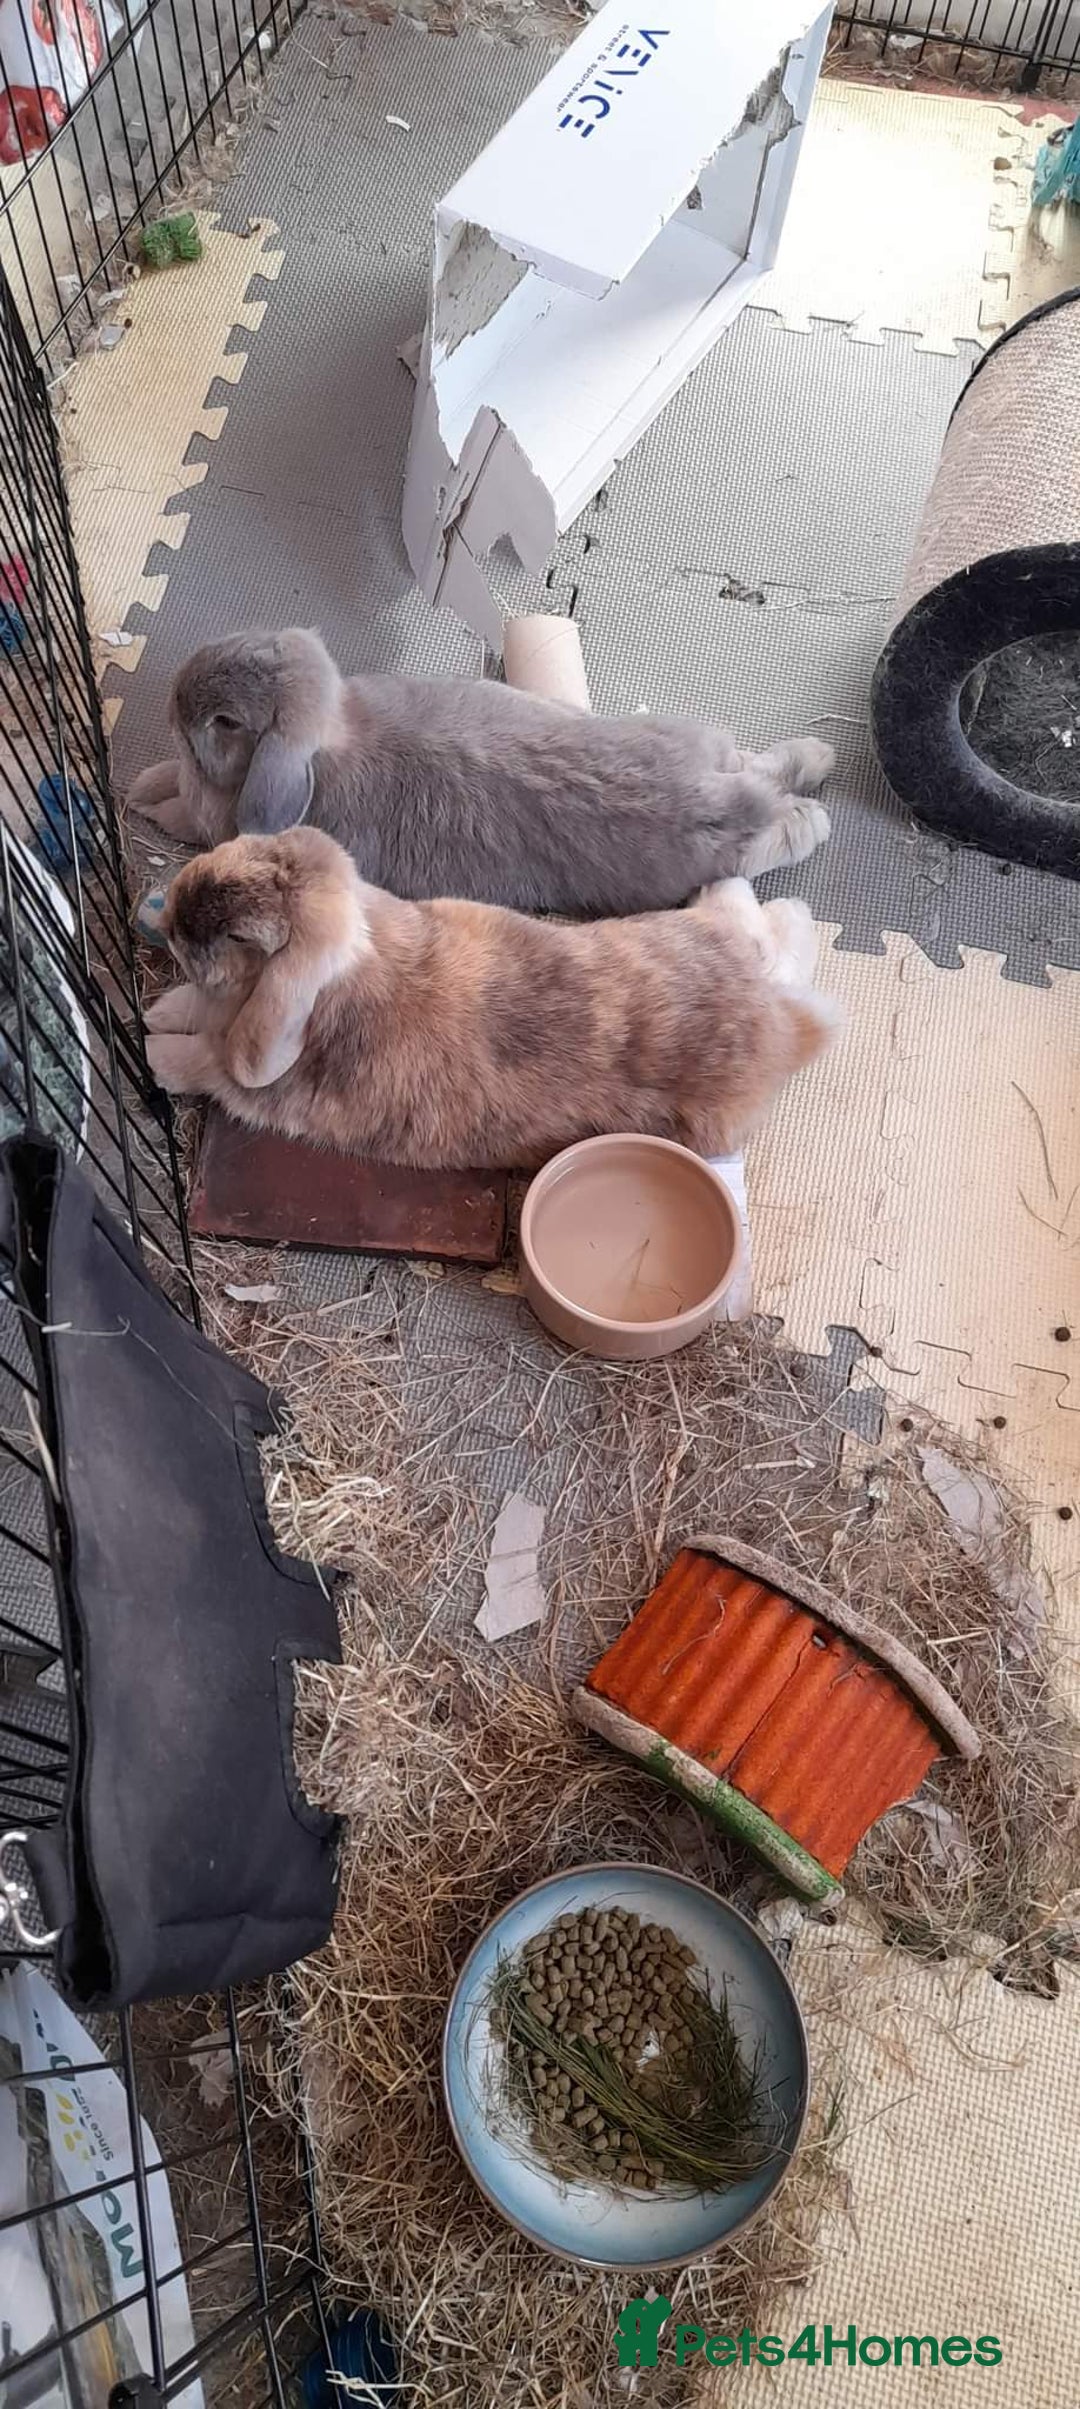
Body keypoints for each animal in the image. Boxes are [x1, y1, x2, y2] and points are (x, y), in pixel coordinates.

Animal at [126, 627, 834, 915]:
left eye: (225, 721)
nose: (175, 697)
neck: (329, 743)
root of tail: (719, 798)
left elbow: (183, 811)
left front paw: (141, 798)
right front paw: (145, 785)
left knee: (790, 826)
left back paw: (815, 810)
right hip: (702, 743)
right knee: (760, 763)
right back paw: (818, 757)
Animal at [144, 825, 842, 1172]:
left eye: (239, 935)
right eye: (234, 848)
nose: (172, 920)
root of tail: (780, 1027)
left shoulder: (248, 1079)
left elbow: (202, 1063)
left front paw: (150, 1053)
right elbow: (191, 1011)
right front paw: (156, 1011)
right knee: (761, 928)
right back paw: (751, 895)